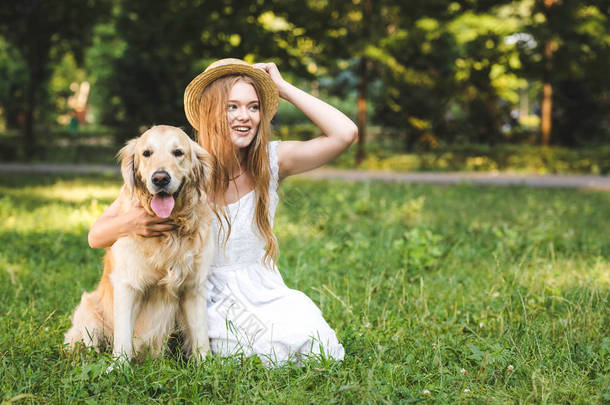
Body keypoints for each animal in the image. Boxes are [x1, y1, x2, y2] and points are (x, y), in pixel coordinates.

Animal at [63, 124, 214, 362]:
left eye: (178, 153)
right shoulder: (127, 285)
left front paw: (206, 365)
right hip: (88, 313)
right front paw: (118, 366)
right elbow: (123, 338)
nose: (160, 178)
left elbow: (201, 337)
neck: (169, 233)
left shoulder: (194, 287)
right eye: (146, 153)